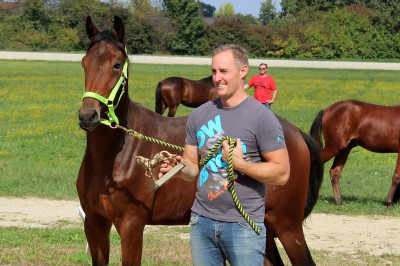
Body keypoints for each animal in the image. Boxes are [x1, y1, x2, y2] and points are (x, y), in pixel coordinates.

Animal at [79, 15, 324, 264]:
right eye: (84, 63)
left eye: (117, 64)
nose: (88, 115)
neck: (115, 158)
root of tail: (294, 132)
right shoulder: (95, 223)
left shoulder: (131, 225)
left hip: (287, 226)